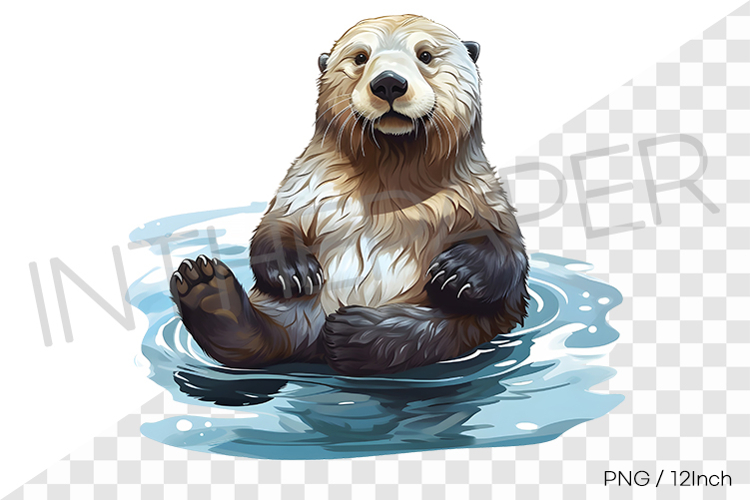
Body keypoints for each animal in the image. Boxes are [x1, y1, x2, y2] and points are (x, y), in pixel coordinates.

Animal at [170, 15, 529, 376]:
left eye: (425, 55)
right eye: (360, 57)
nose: (389, 82)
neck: (389, 184)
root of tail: (312, 344)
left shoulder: (478, 194)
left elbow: (508, 251)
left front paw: (457, 274)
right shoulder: (305, 187)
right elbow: (273, 227)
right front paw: (295, 272)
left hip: (462, 329)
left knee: (432, 334)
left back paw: (352, 333)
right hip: (288, 314)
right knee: (261, 341)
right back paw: (205, 287)